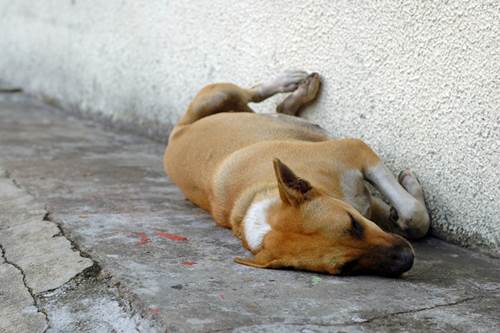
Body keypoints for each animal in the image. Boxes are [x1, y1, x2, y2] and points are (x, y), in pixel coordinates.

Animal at [164, 71, 430, 276]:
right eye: (347, 267)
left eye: (353, 224)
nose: (408, 259)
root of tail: (176, 134)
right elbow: (413, 219)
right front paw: (405, 200)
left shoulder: (357, 153)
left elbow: (413, 215)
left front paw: (407, 193)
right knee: (277, 107)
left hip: (218, 94)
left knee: (253, 92)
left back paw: (291, 80)